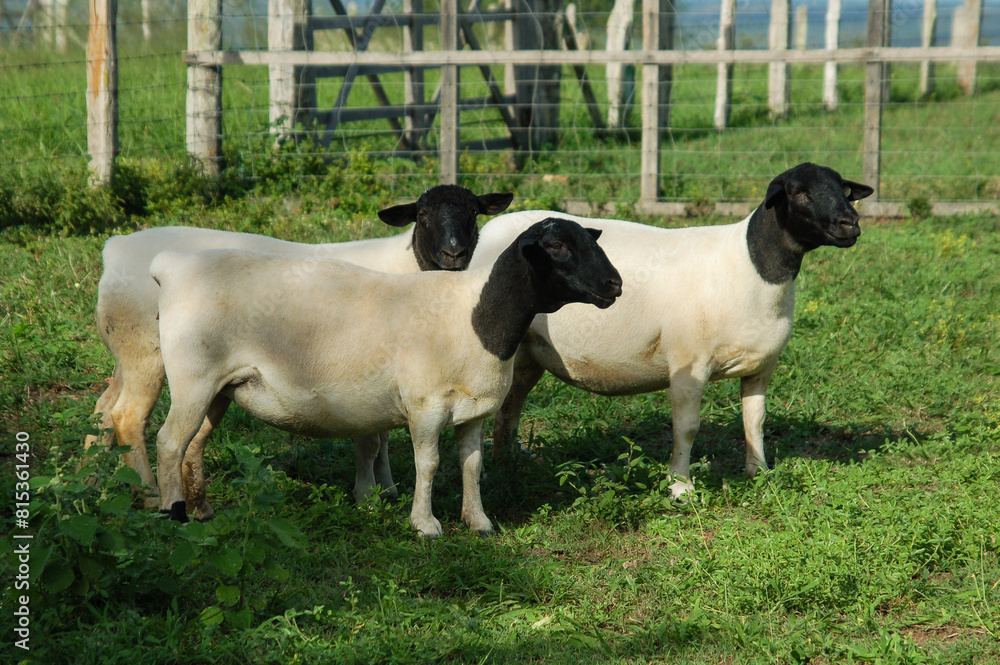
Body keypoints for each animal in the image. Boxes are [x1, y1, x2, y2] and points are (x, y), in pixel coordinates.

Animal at [89, 185, 513, 520]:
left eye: (474, 212)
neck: (407, 266)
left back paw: (97, 480)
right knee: (130, 417)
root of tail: (115, 247)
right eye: (422, 216)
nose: (454, 254)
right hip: (147, 353)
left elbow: (383, 436)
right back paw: (150, 496)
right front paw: (370, 494)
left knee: (106, 408)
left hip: (130, 352)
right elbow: (372, 440)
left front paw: (387, 487)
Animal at [149, 218, 623, 536]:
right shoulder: (425, 404)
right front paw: (425, 524)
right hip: (192, 376)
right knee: (169, 441)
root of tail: (170, 268)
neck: (476, 316)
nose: (615, 285)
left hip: (220, 387)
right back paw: (173, 513)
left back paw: (202, 511)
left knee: (194, 444)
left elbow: (471, 465)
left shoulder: (473, 410)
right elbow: (427, 464)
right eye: (557, 245)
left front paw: (479, 521)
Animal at [464, 162, 874, 498]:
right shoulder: (689, 362)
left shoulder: (762, 365)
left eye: (843, 188)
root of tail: (490, 229)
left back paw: (508, 467)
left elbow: (755, 420)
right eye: (799, 192)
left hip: (527, 353)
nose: (850, 224)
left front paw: (759, 472)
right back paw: (486, 475)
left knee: (509, 408)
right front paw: (680, 487)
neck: (752, 267)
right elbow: (687, 427)